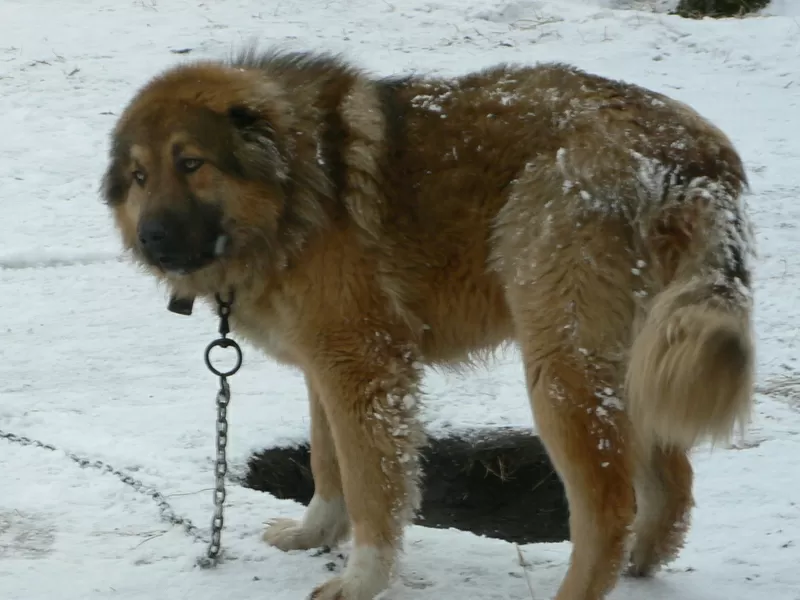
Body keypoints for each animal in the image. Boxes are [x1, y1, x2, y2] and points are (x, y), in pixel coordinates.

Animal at [101, 48, 756, 600]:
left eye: (191, 163)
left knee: (611, 504)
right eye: (139, 177)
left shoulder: (365, 364)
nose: (150, 238)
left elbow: (371, 486)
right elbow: (326, 465)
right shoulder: (325, 365)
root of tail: (694, 157)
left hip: (562, 362)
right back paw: (642, 568)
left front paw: (361, 580)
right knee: (672, 480)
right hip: (642, 358)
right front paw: (313, 536)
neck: (293, 190)